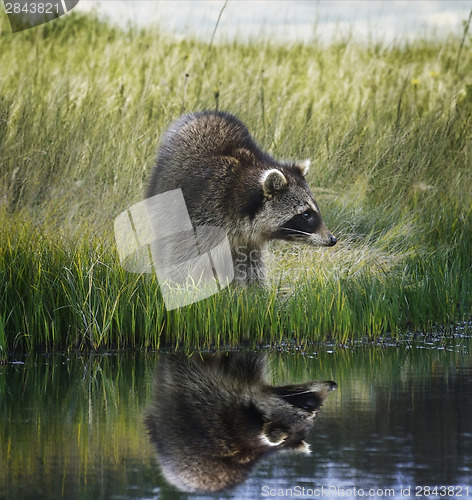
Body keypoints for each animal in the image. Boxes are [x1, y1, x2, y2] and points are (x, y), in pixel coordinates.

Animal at [147, 111, 336, 284]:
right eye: (306, 214)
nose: (332, 239)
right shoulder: (201, 213)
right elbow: (181, 255)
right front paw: (178, 287)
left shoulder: (247, 240)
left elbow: (250, 266)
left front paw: (255, 293)